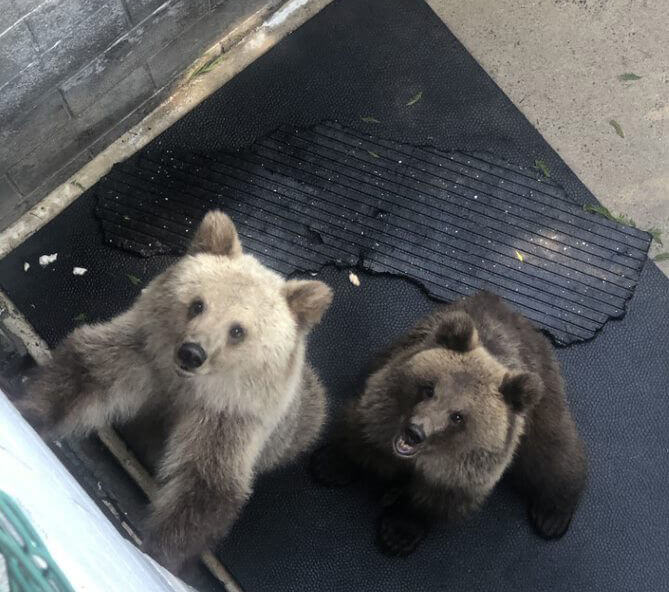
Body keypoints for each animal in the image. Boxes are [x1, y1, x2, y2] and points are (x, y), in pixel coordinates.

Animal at [15, 210, 333, 571]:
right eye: (198, 304)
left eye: (238, 330)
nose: (192, 353)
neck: (184, 386)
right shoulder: (141, 356)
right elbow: (83, 375)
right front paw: (29, 409)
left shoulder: (227, 417)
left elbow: (204, 485)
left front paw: (160, 553)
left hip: (302, 421)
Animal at [311, 291, 587, 556]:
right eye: (429, 388)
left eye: (458, 416)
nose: (415, 432)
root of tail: (514, 313)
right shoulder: (382, 406)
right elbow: (361, 436)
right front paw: (330, 464)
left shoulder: (466, 470)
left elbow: (436, 499)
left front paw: (398, 534)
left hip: (542, 400)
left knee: (552, 452)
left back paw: (552, 515)